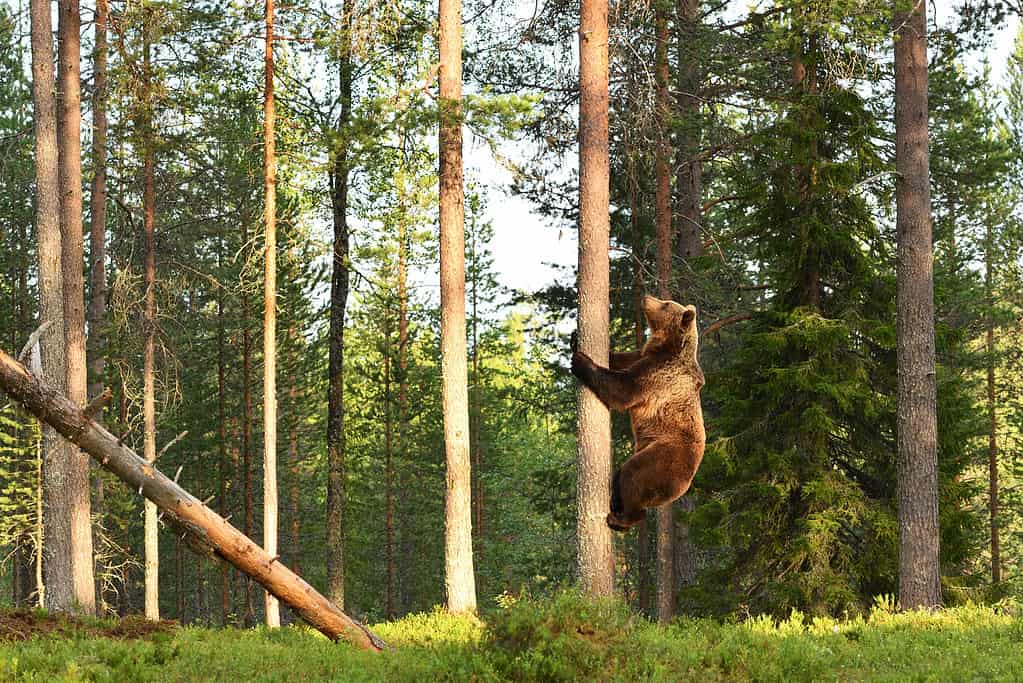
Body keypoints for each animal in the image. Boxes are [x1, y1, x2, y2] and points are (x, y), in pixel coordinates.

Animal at [568, 296, 703, 531]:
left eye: (666, 303)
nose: (647, 297)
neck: (668, 347)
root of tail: (683, 488)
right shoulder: (644, 356)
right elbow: (623, 359)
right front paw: (575, 339)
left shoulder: (659, 375)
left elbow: (623, 389)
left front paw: (580, 361)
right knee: (620, 476)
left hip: (664, 456)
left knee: (633, 476)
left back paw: (621, 519)